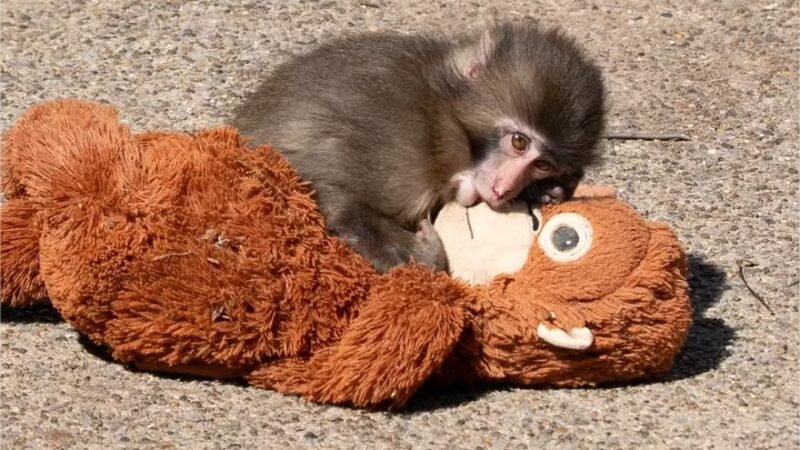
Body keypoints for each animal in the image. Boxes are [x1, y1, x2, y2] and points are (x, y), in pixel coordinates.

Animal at [231, 21, 606, 273]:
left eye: (543, 165)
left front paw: (546, 190)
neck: (442, 116)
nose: (504, 189)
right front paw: (427, 254)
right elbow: (332, 198)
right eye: (518, 141)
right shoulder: (400, 145)